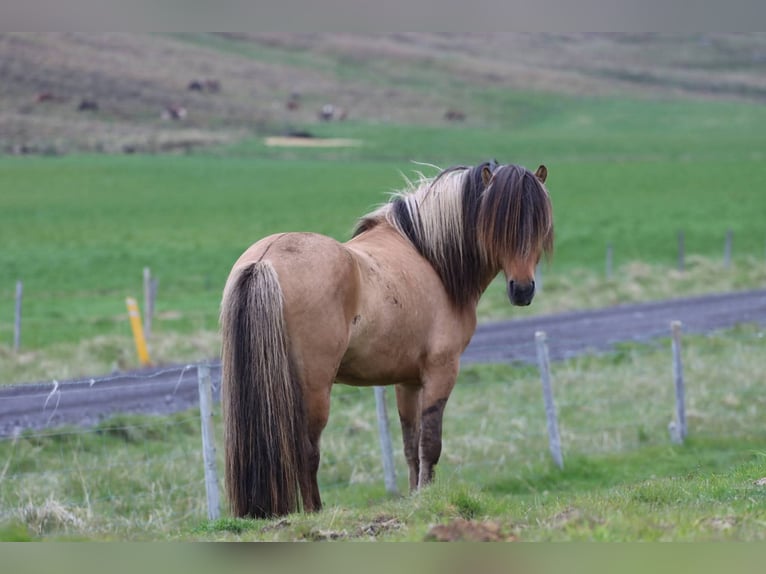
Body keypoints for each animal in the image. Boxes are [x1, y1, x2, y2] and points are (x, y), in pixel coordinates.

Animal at [220, 161, 554, 518]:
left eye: (539, 222)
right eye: (498, 224)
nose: (522, 290)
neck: (430, 259)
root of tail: (264, 261)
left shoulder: (407, 381)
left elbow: (410, 445)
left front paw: (415, 496)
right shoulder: (441, 372)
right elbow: (430, 444)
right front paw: (428, 497)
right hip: (315, 388)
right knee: (307, 450)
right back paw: (315, 511)